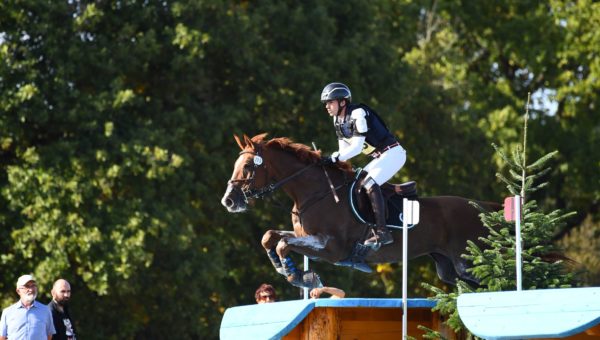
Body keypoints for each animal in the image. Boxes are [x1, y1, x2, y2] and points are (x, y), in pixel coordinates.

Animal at [220, 134, 502, 288]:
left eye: (248, 166)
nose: (229, 202)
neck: (314, 193)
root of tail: (483, 208)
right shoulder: (307, 237)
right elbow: (270, 237)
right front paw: (284, 269)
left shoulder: (332, 248)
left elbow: (282, 243)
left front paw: (302, 278)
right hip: (450, 269)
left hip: (469, 262)